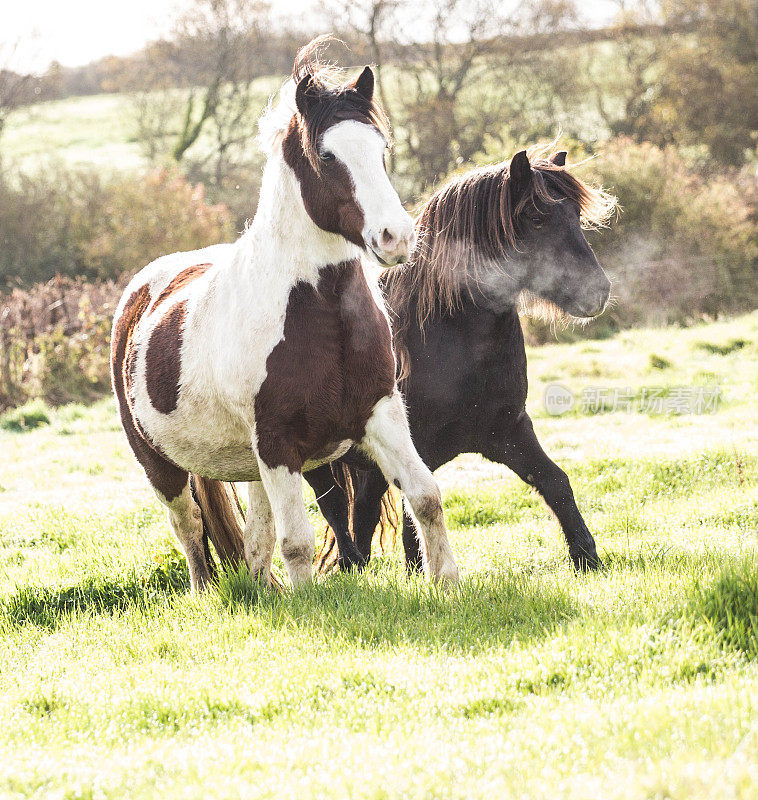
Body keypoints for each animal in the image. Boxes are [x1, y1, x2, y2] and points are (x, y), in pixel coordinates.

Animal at [110, 43, 460, 592]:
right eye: (327, 155)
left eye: (381, 148)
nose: (397, 237)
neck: (319, 312)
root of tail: (141, 292)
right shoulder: (277, 442)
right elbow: (297, 540)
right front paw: (308, 600)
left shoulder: (380, 412)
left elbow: (425, 497)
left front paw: (446, 581)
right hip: (162, 465)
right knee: (188, 524)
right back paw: (206, 590)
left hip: (251, 465)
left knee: (256, 534)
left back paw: (264, 589)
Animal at [306, 148, 620, 576]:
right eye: (537, 218)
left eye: (575, 214)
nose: (597, 291)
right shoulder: (415, 447)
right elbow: (414, 518)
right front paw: (424, 575)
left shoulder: (508, 431)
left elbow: (555, 482)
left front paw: (587, 557)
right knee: (337, 510)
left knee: (363, 514)